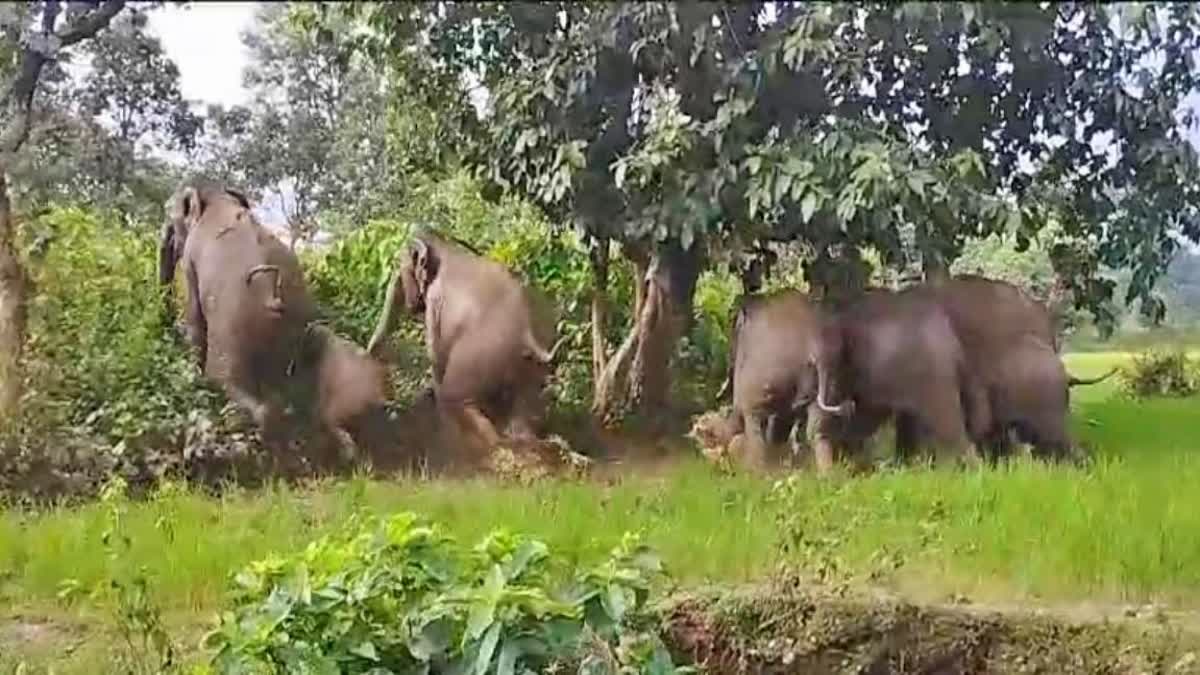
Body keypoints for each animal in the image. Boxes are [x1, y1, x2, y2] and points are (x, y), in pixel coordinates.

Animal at [364, 227, 566, 456]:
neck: (444, 246)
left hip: (479, 353)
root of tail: (527, 329)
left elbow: (436, 355)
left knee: (456, 396)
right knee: (523, 404)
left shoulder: (436, 301)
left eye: (399, 265)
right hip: (530, 365)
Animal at [710, 288, 854, 468]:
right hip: (830, 376)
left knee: (755, 422)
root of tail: (816, 346)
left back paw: (754, 469)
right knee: (817, 428)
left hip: (766, 376)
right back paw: (825, 472)